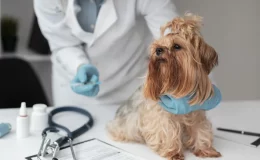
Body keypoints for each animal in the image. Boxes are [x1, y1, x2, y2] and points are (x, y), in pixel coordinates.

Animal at [106, 13, 220, 160]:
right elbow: (167, 131)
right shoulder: (161, 117)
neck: (177, 86)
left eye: (176, 46)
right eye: (158, 45)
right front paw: (173, 152)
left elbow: (200, 130)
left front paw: (205, 149)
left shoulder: (196, 113)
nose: (158, 50)